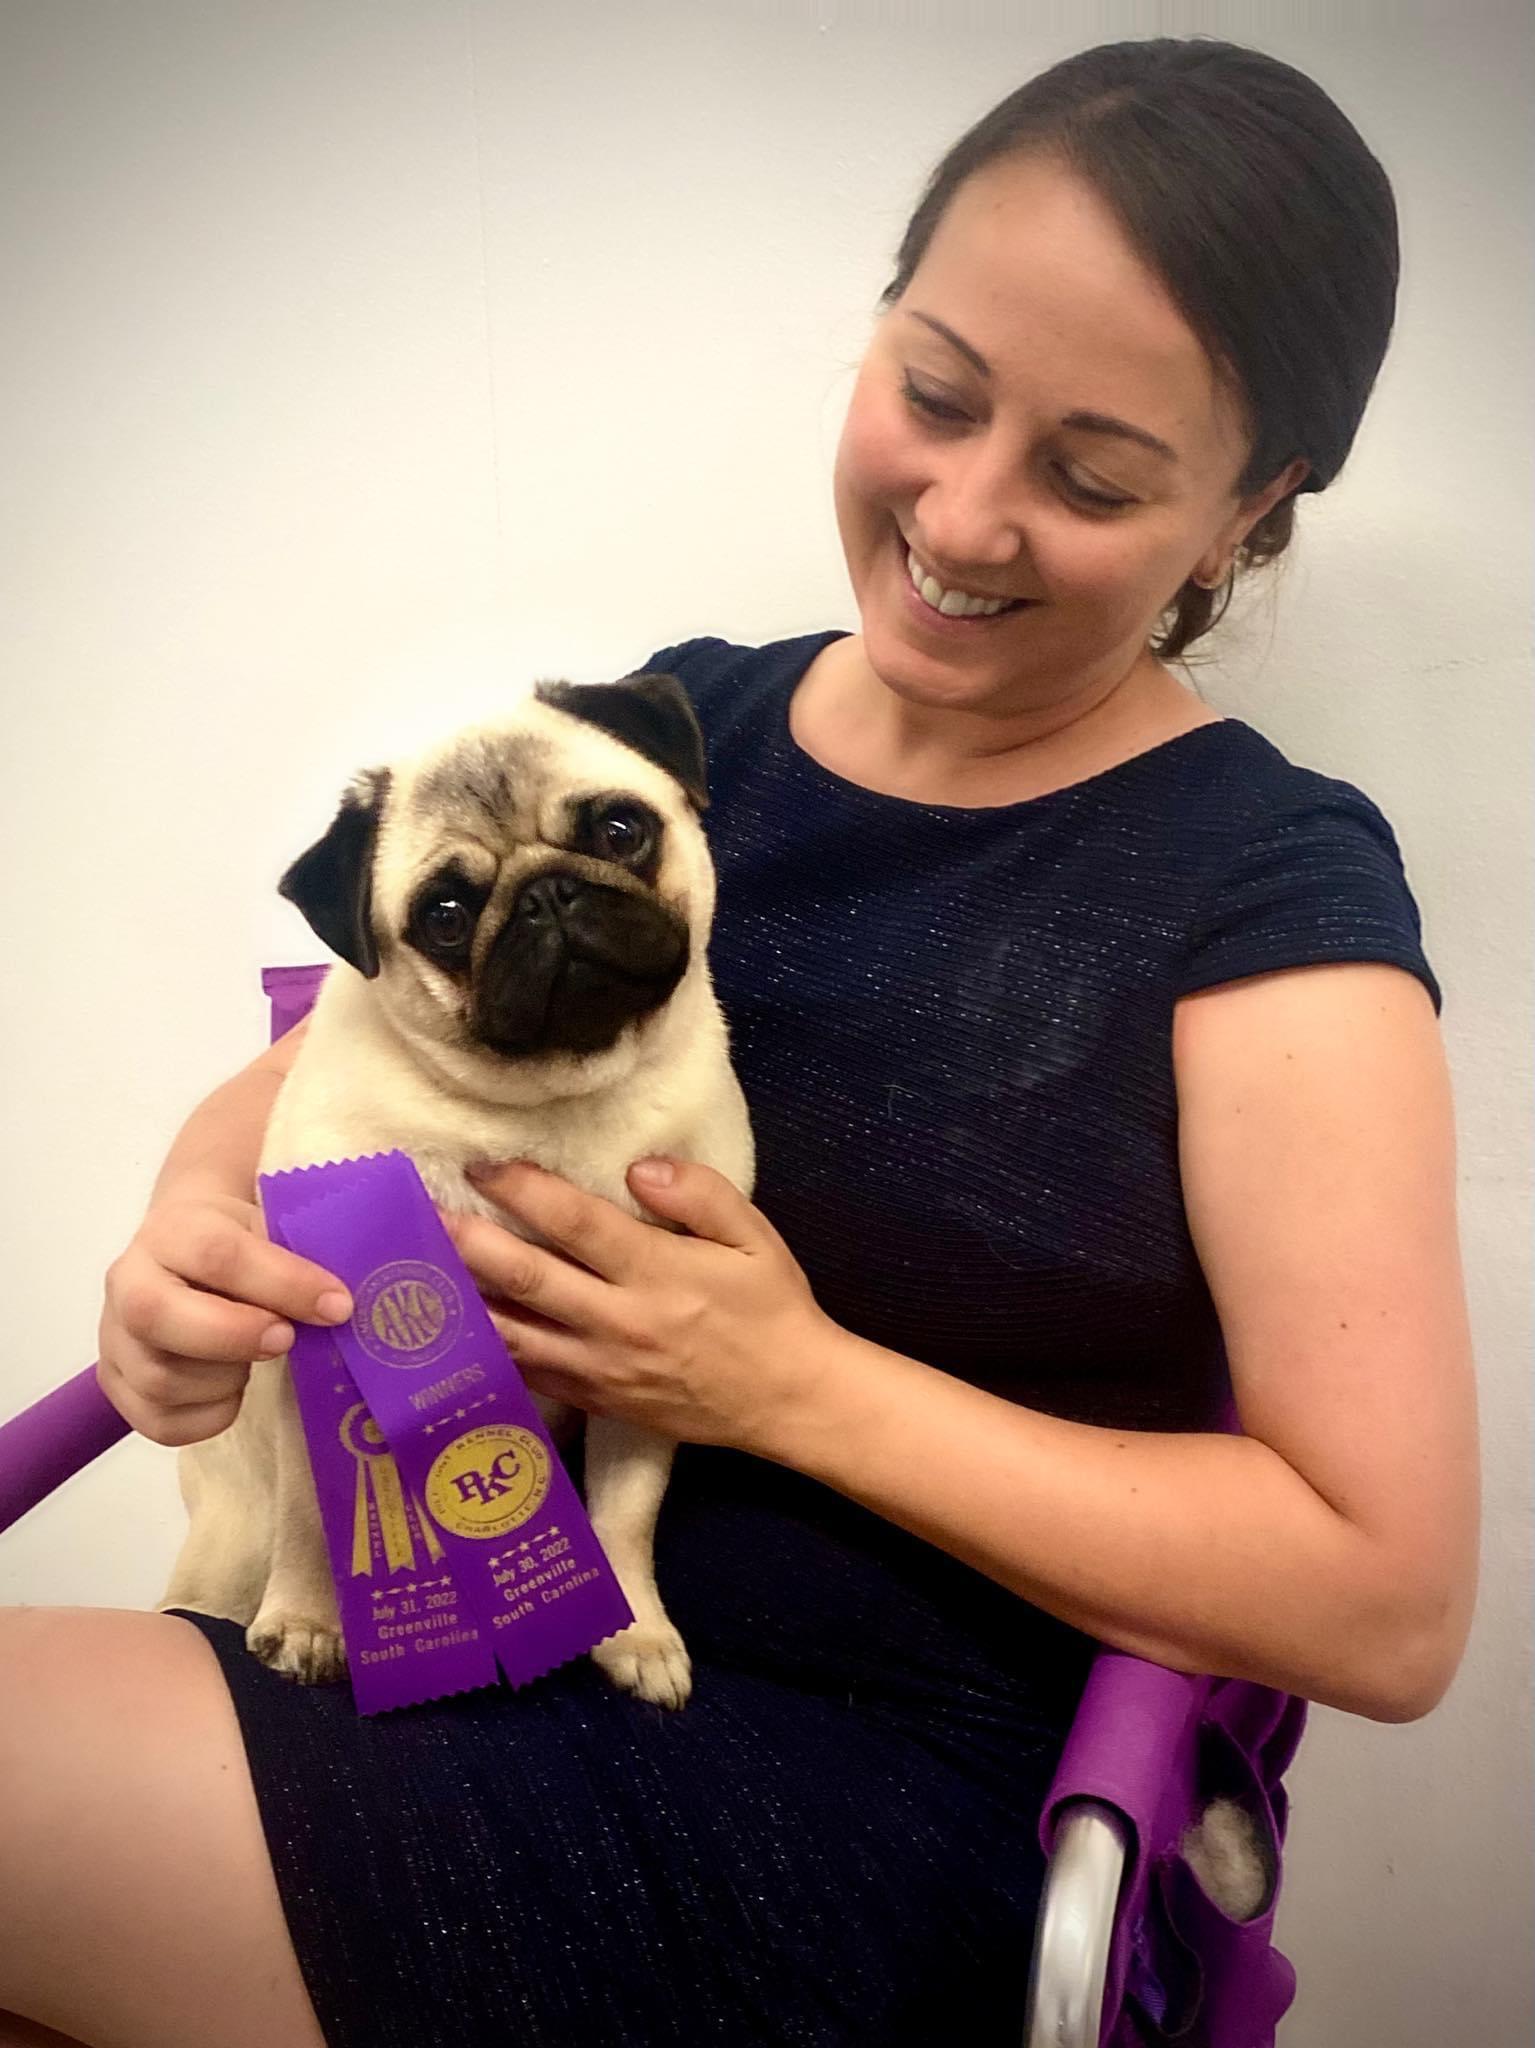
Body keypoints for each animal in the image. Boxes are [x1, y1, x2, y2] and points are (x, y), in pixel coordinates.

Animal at [160, 671, 754, 1710]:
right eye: (444, 914)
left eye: (621, 831)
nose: (547, 895)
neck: (545, 1105)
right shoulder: (315, 1365)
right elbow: (313, 1516)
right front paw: (311, 1620)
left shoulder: (646, 1381)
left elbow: (625, 1513)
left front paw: (634, 1630)